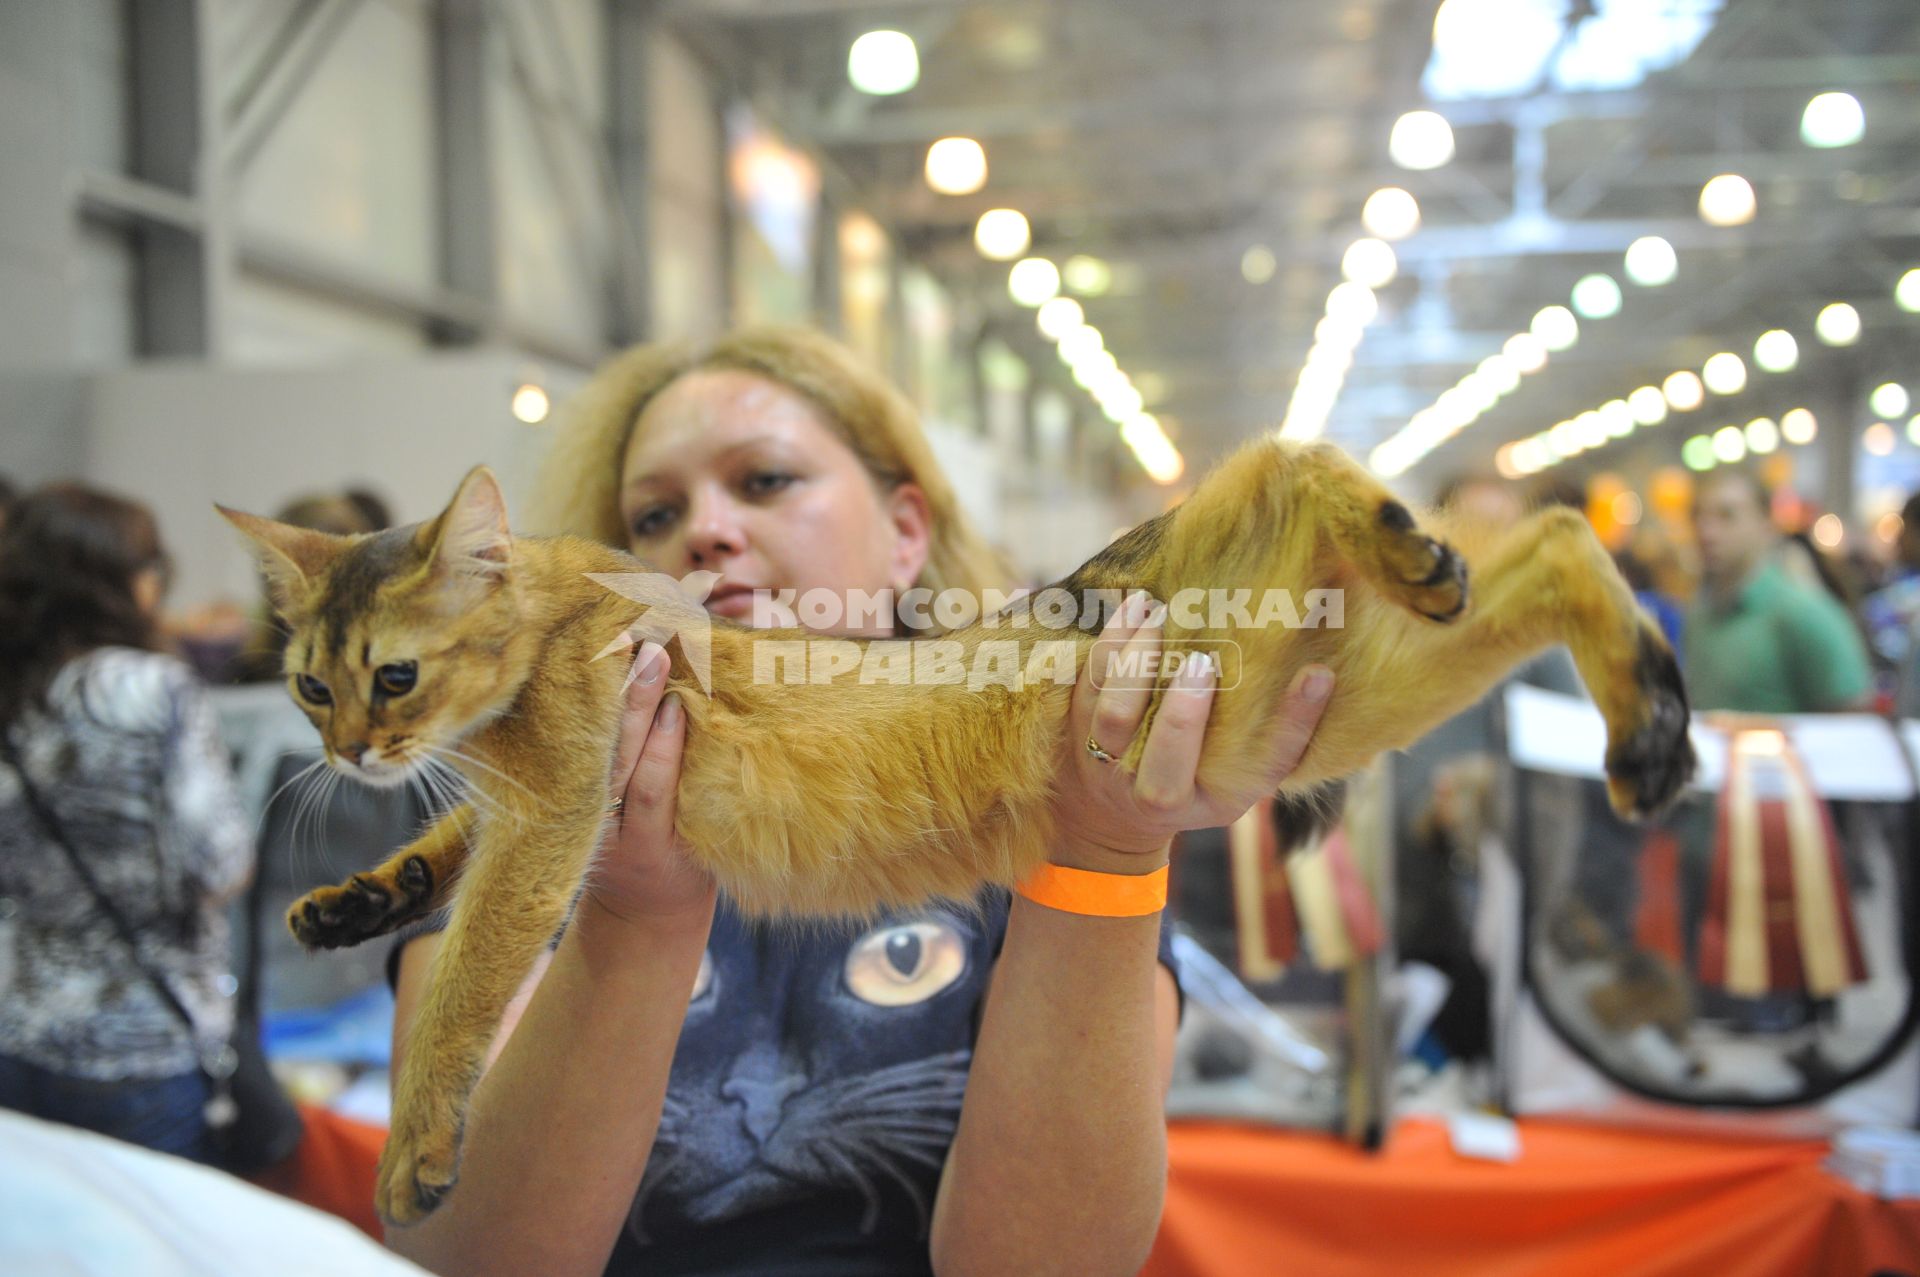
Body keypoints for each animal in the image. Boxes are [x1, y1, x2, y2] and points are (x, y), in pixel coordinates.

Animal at [220, 441, 1697, 1228]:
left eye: (392, 675)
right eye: (310, 685)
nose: (345, 753)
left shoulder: (566, 801)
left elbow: (472, 970)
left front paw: (417, 1142)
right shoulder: (532, 803)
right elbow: (451, 850)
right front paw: (357, 897)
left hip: (1251, 640)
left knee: (1302, 462)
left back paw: (1418, 544)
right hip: (1324, 699)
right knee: (1551, 541)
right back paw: (1649, 725)